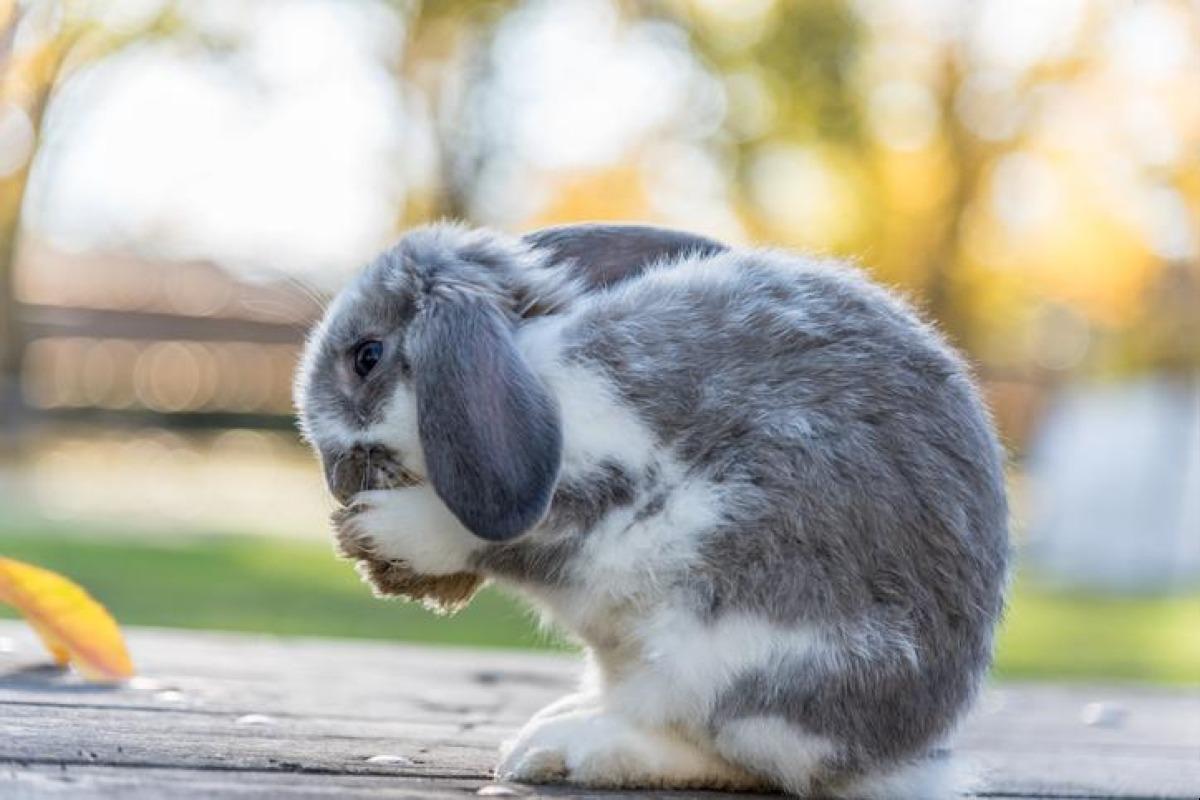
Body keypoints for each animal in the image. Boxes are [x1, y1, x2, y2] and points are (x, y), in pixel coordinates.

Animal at [294, 222, 1010, 798]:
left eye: (366, 356)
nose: (337, 479)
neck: (535, 367)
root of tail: (901, 758)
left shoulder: (611, 483)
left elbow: (504, 535)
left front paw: (383, 528)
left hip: (726, 652)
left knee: (740, 753)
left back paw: (572, 749)